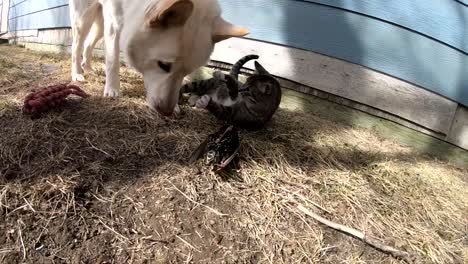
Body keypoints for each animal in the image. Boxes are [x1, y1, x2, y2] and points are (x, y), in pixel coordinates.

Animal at [68, 0, 249, 115]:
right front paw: (112, 90)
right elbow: (112, 61)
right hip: (84, 17)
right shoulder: (114, 23)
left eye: (186, 73)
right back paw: (77, 74)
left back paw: (88, 68)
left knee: (88, 44)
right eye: (163, 65)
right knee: (77, 46)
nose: (167, 112)